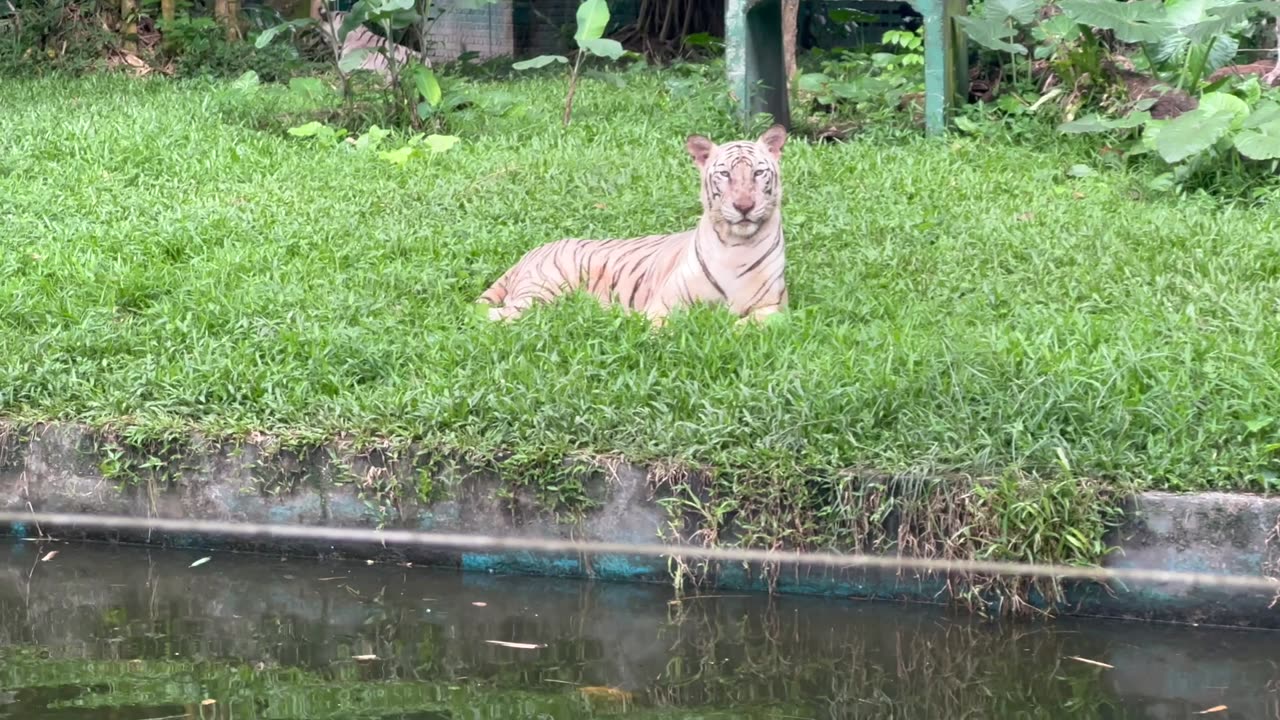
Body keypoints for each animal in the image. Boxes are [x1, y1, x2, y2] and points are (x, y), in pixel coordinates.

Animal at [476, 124, 783, 325]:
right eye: (725, 174)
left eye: (758, 173)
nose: (744, 206)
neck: (735, 245)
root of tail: (530, 252)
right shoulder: (664, 305)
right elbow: (663, 327)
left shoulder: (775, 307)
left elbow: (749, 325)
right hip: (540, 292)